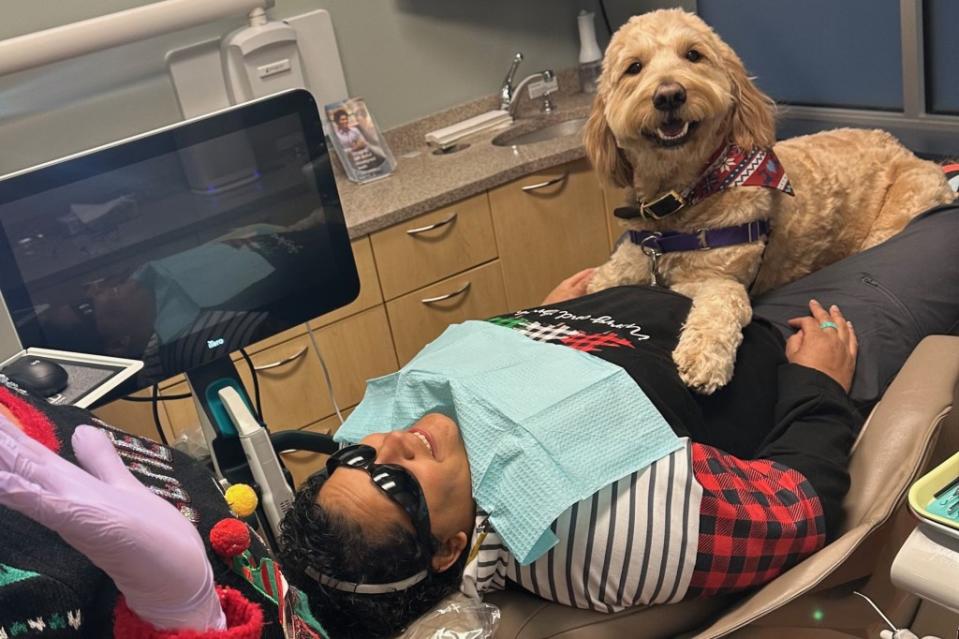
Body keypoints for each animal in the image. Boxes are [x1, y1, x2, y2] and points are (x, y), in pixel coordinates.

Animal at [584, 7, 952, 392]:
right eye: (634, 67)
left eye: (693, 55)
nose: (669, 95)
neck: (683, 198)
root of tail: (903, 148)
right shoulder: (624, 265)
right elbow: (599, 282)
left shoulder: (717, 278)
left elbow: (722, 304)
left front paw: (703, 356)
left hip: (899, 213)